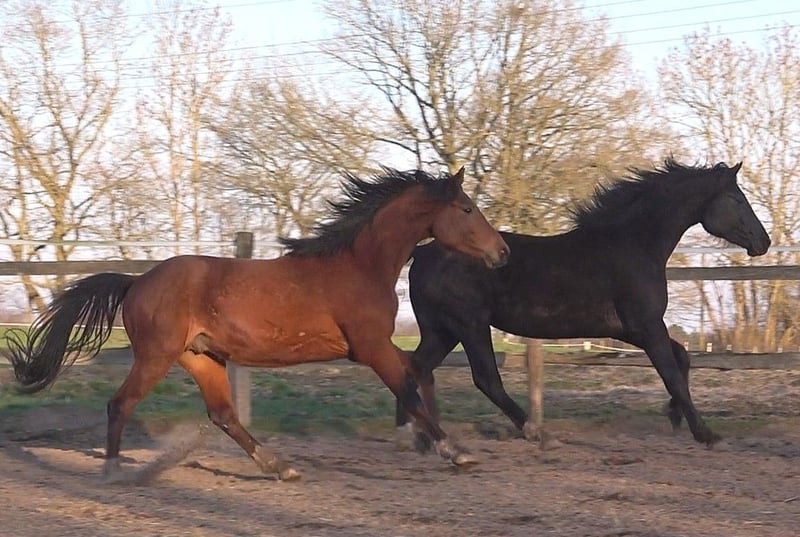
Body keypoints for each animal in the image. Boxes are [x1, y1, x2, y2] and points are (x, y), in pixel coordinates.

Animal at [6, 166, 510, 481]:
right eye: (467, 209)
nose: (501, 252)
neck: (359, 266)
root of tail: (136, 282)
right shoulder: (370, 346)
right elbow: (407, 384)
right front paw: (455, 452)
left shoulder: (375, 348)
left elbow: (415, 375)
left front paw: (432, 443)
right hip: (157, 356)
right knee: (120, 404)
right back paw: (113, 473)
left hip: (201, 358)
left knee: (223, 415)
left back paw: (280, 466)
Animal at [396, 159, 770, 449]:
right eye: (737, 199)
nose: (763, 242)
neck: (632, 245)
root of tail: (421, 253)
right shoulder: (647, 326)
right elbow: (672, 374)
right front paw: (706, 434)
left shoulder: (629, 330)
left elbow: (682, 358)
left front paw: (675, 416)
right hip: (469, 324)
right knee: (485, 379)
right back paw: (537, 433)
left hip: (442, 330)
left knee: (414, 367)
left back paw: (415, 434)